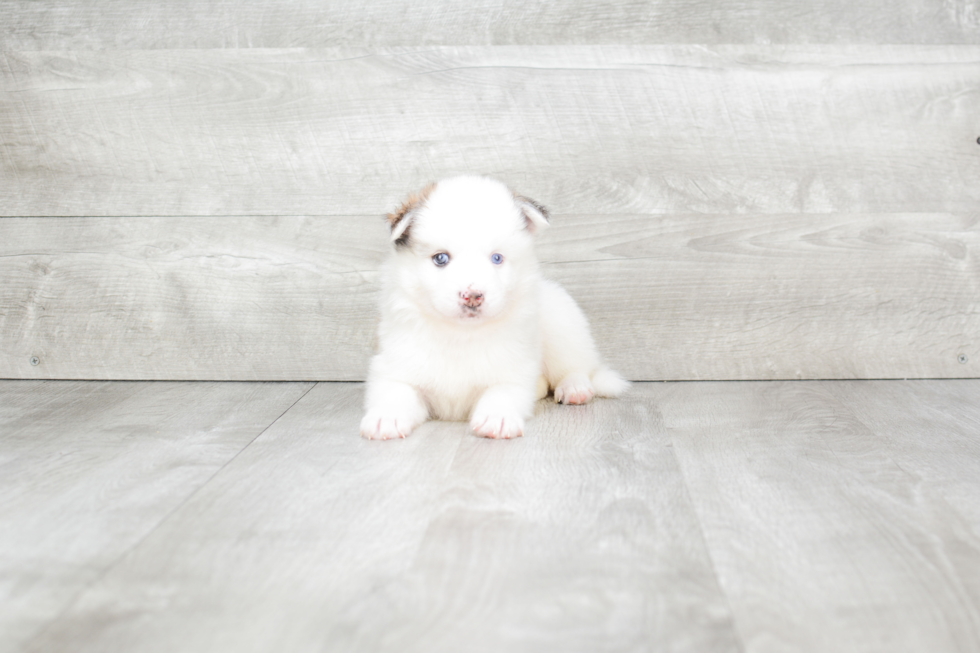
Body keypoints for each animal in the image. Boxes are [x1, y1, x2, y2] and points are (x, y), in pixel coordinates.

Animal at [360, 174, 628, 438]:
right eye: (441, 258)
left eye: (496, 258)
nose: (473, 296)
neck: (460, 335)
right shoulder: (395, 366)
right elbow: (396, 391)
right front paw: (387, 417)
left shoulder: (513, 369)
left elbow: (502, 391)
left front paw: (496, 417)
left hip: (562, 328)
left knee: (577, 367)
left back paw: (575, 388)